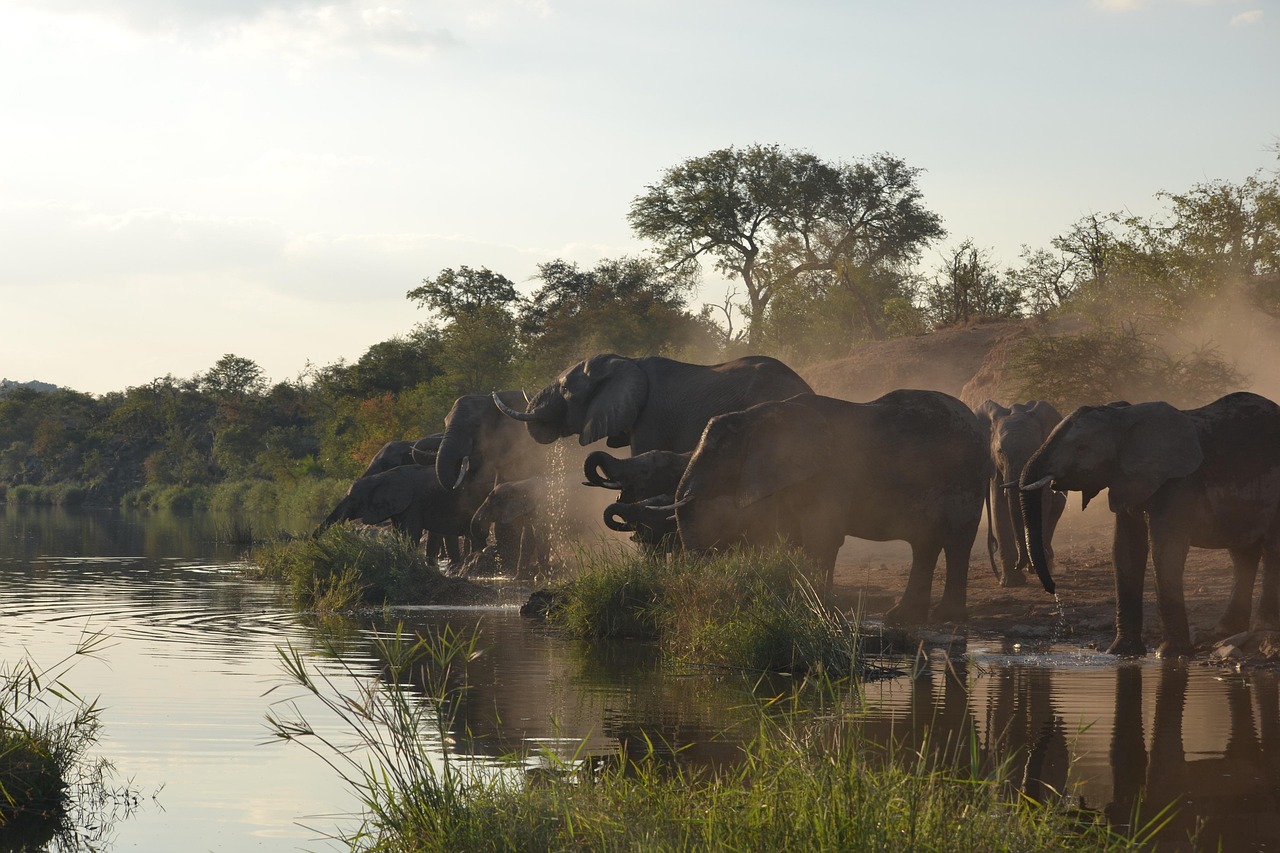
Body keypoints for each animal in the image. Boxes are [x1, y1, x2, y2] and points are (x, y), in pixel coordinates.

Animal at [317, 465, 480, 563]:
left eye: (353, 499)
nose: (313, 544)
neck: (384, 476)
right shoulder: (398, 507)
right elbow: (399, 532)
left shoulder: (413, 503)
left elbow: (411, 532)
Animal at [674, 389, 987, 623]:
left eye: (717, 454)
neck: (757, 415)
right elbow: (792, 538)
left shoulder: (829, 475)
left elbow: (822, 539)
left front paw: (816, 611)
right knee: (925, 543)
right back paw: (901, 617)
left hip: (965, 476)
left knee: (957, 541)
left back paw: (946, 617)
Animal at [974, 401, 1065, 587]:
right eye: (1000, 451)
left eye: (1036, 449)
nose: (1019, 563)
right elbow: (999, 504)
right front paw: (1011, 582)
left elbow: (1042, 502)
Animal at [1019, 391, 1280, 657]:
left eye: (1082, 448)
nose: (1053, 588)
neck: (1124, 417)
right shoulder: (1126, 478)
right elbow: (1124, 549)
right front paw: (1120, 652)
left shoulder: (1179, 482)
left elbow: (1164, 549)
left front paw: (1171, 655)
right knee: (1242, 554)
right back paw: (1223, 631)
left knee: (1270, 550)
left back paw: (1262, 629)